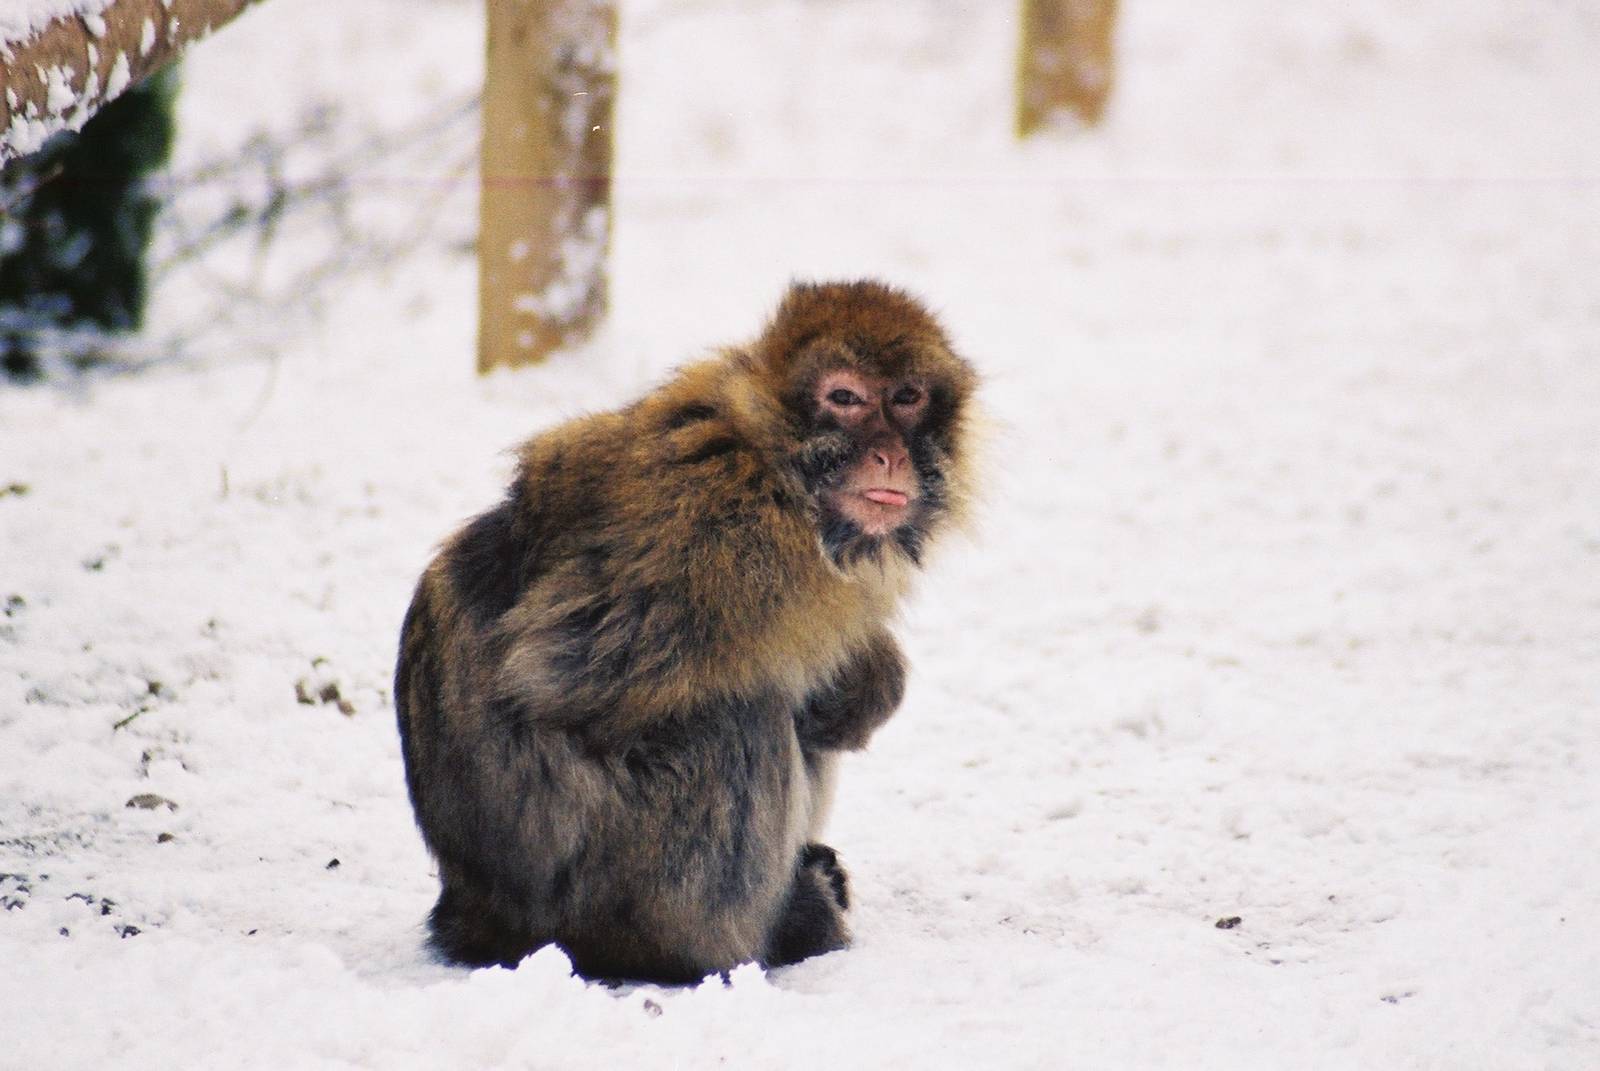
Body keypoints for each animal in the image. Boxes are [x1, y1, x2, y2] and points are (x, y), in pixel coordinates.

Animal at [394, 279, 977, 983]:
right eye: (844, 398)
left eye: (906, 398)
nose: (889, 453)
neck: (780, 471)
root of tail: (480, 911)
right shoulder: (713, 528)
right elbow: (558, 674)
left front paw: (867, 678)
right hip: (614, 892)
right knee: (743, 715)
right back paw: (756, 937)